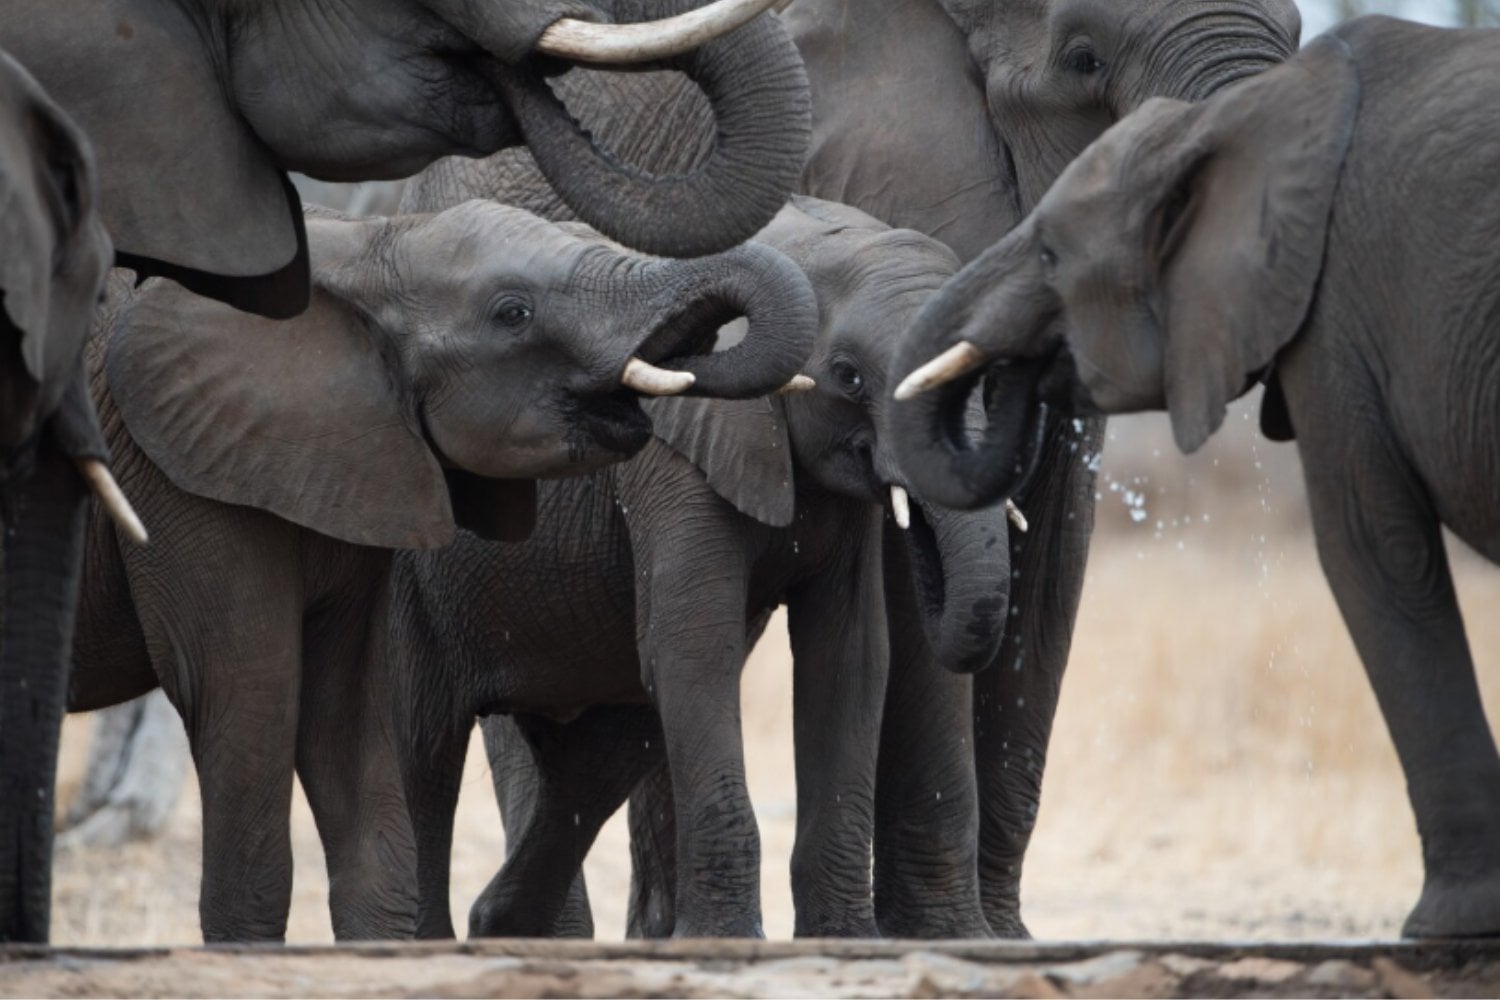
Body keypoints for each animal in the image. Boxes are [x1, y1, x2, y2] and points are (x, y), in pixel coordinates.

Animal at [375, 195, 1019, 940]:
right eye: (849, 375)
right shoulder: (672, 457)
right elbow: (695, 648)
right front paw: (727, 942)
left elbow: (848, 661)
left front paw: (848, 942)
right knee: (430, 749)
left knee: (600, 756)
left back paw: (500, 926)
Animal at [889, 16, 1500, 939]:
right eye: (1083, 61)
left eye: (1050, 250)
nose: (1026, 367)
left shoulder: (1337, 313)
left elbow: (1370, 549)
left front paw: (1445, 928)